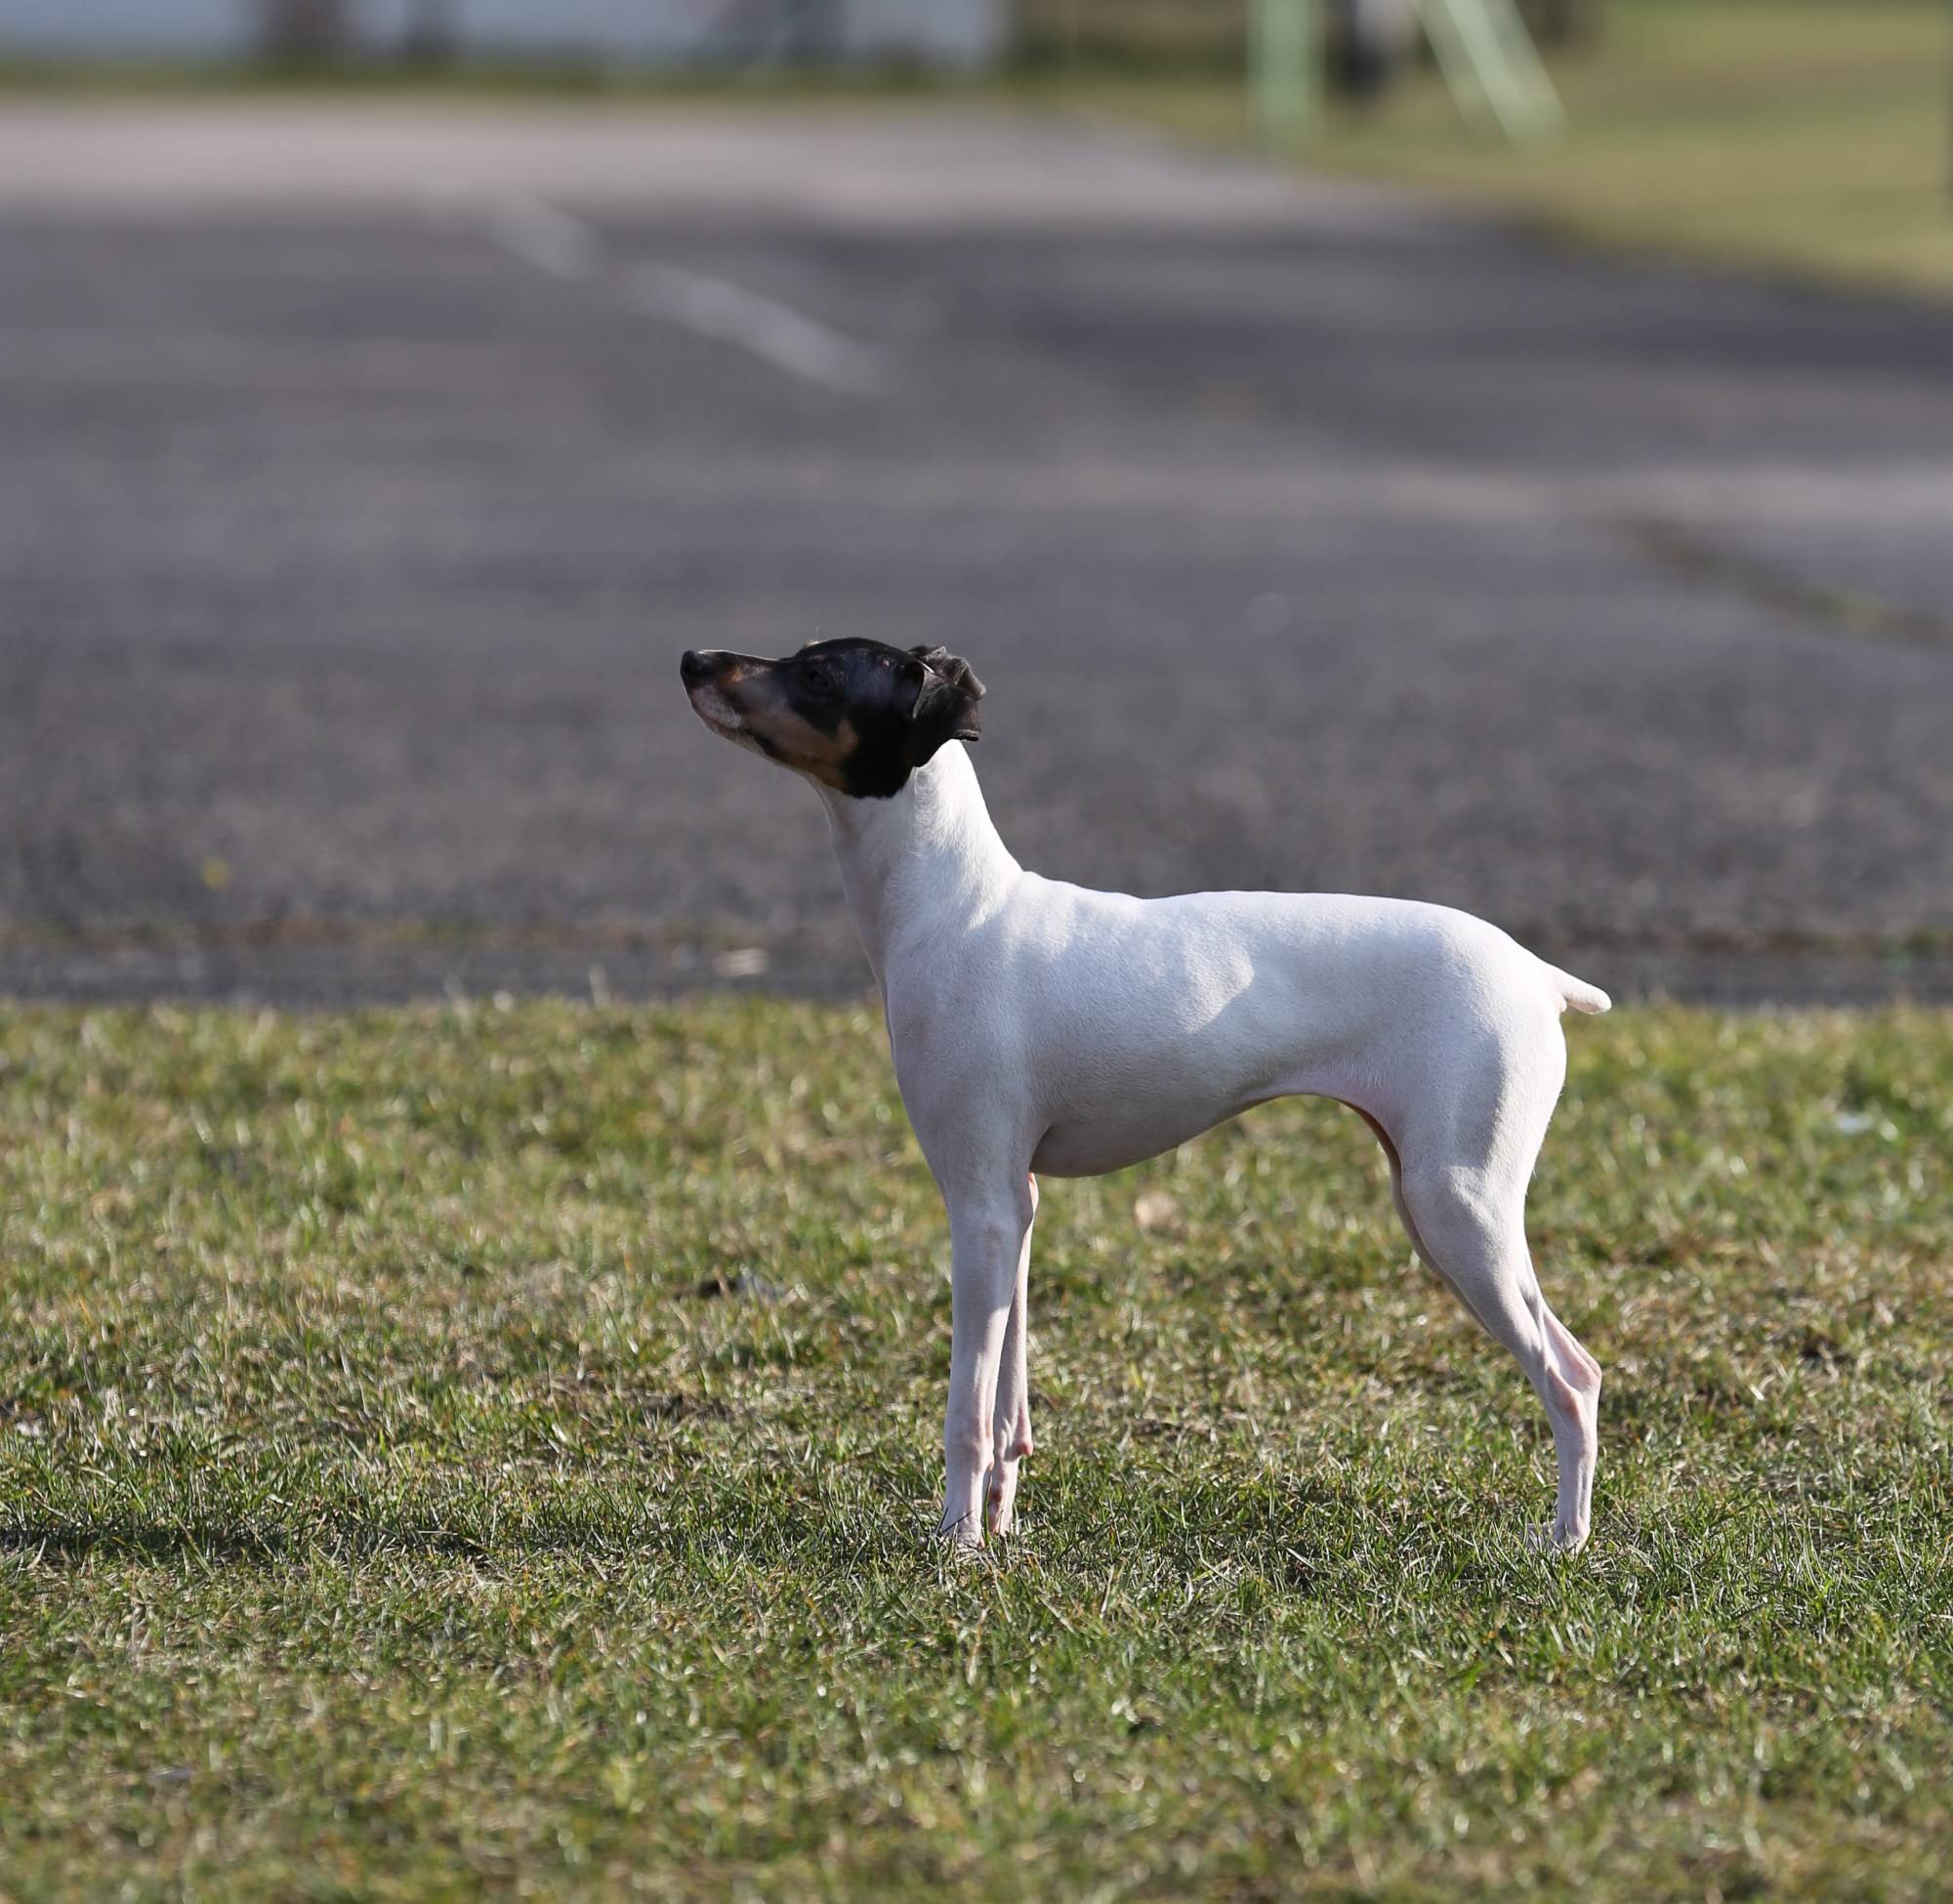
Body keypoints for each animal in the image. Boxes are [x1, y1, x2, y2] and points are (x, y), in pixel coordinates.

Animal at [680, 637, 1609, 1547]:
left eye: (819, 671)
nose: (693, 661)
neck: (957, 909)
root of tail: (1538, 974)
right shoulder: (1015, 1206)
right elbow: (1010, 1406)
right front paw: (1002, 1526)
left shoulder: (977, 1208)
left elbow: (967, 1413)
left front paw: (958, 1544)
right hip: (1433, 1207)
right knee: (1580, 1368)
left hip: (1459, 1208)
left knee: (1569, 1377)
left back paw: (1564, 1541)